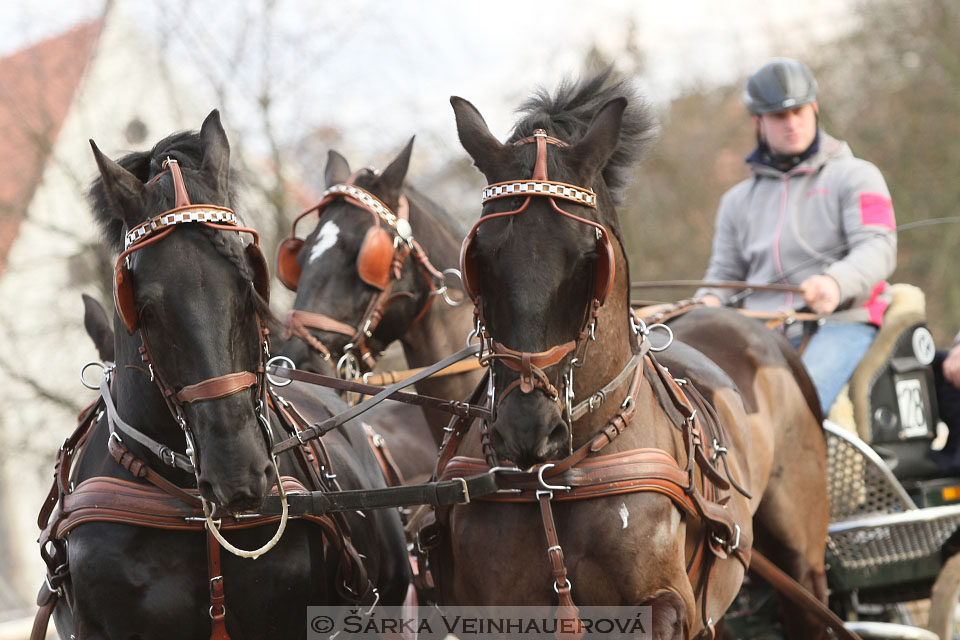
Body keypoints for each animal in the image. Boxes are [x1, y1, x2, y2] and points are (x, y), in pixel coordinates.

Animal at [426, 72, 824, 636]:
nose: (527, 427)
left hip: (802, 564)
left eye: (589, 258)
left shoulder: (666, 602)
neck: (553, 481)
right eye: (478, 256)